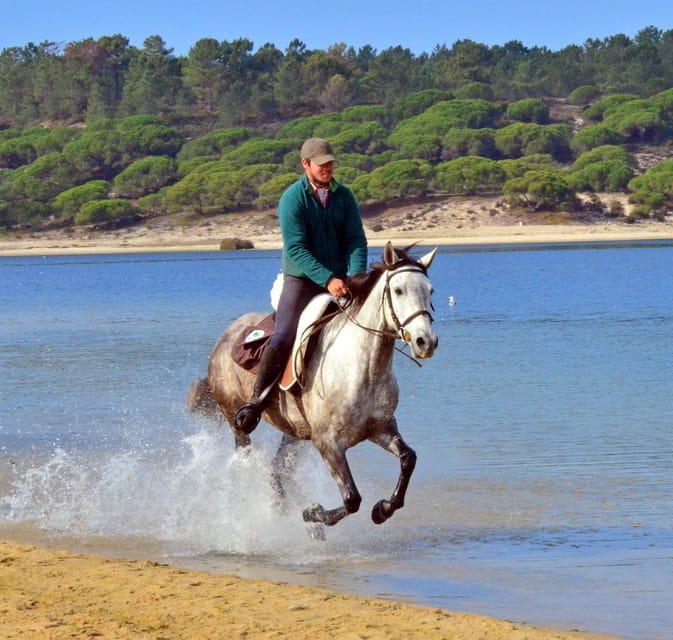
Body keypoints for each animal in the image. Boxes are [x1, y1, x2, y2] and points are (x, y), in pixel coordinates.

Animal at [188, 241, 438, 528]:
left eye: (430, 291)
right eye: (398, 290)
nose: (426, 342)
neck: (362, 368)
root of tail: (224, 338)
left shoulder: (381, 428)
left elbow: (408, 459)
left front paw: (383, 509)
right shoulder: (328, 443)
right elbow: (352, 499)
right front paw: (312, 512)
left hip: (294, 433)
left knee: (277, 469)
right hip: (236, 420)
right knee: (250, 458)